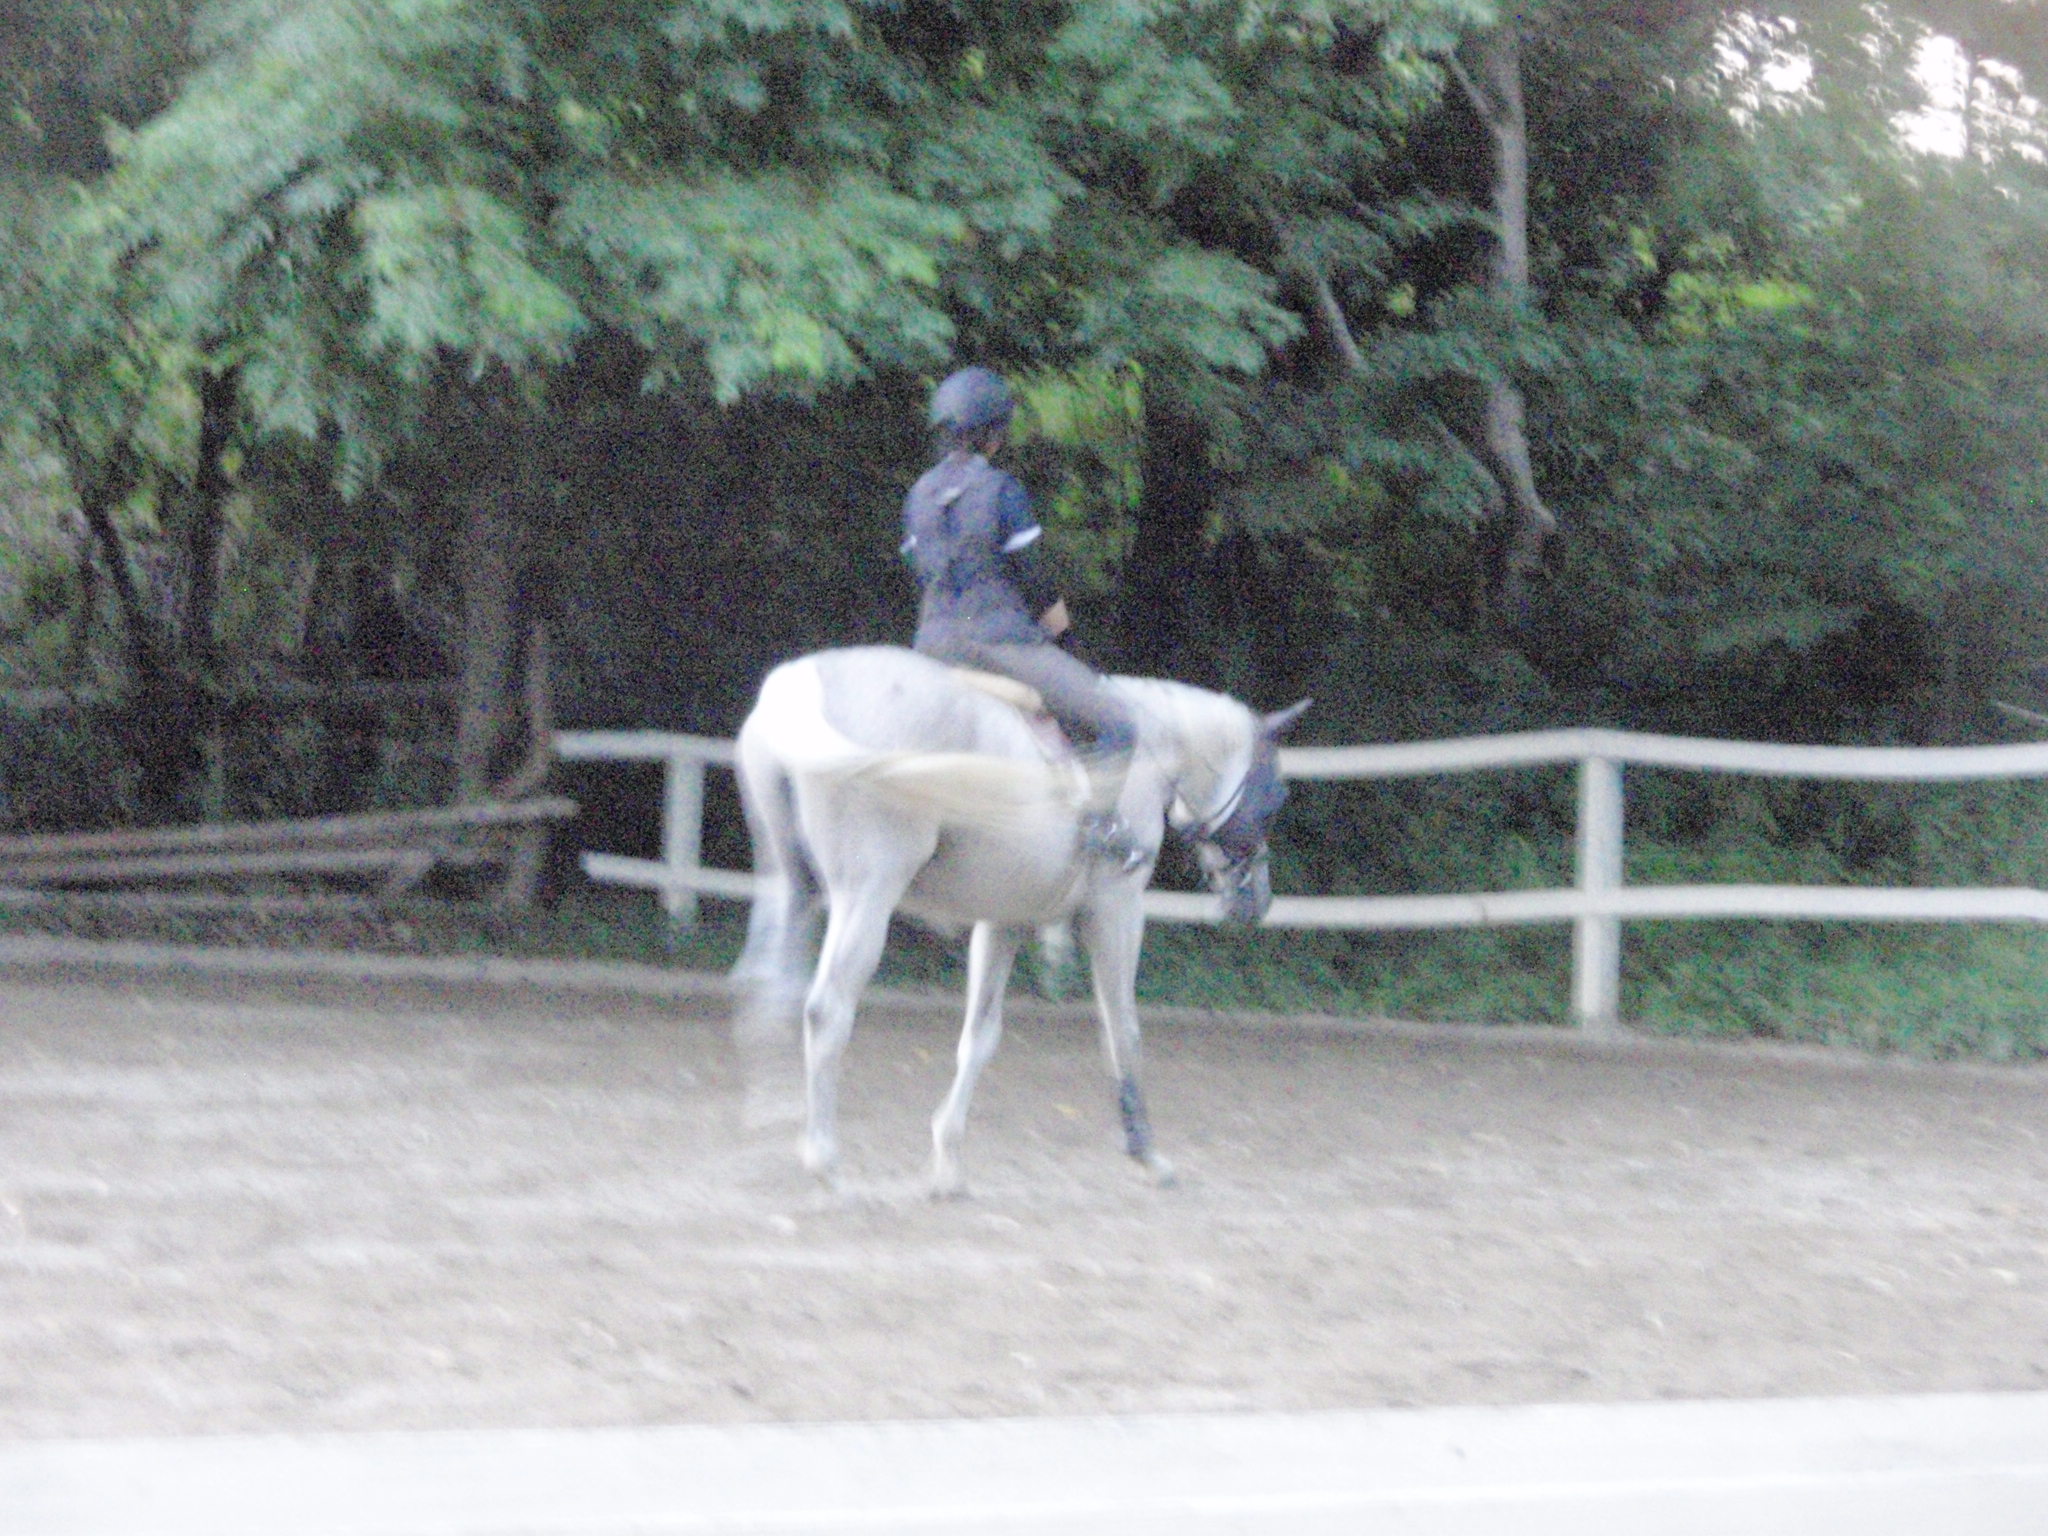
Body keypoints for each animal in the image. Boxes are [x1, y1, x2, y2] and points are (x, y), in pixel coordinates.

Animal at [729, 644, 1307, 1195]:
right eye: (1277, 796)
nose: (1258, 900)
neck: (1151, 757)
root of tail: (800, 682)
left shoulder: (1003, 919)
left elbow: (980, 1038)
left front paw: (948, 1162)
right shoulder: (1117, 909)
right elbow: (1122, 1028)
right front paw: (1145, 1152)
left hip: (793, 885)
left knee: (770, 985)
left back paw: (773, 1118)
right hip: (866, 894)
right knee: (827, 1008)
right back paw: (823, 1158)